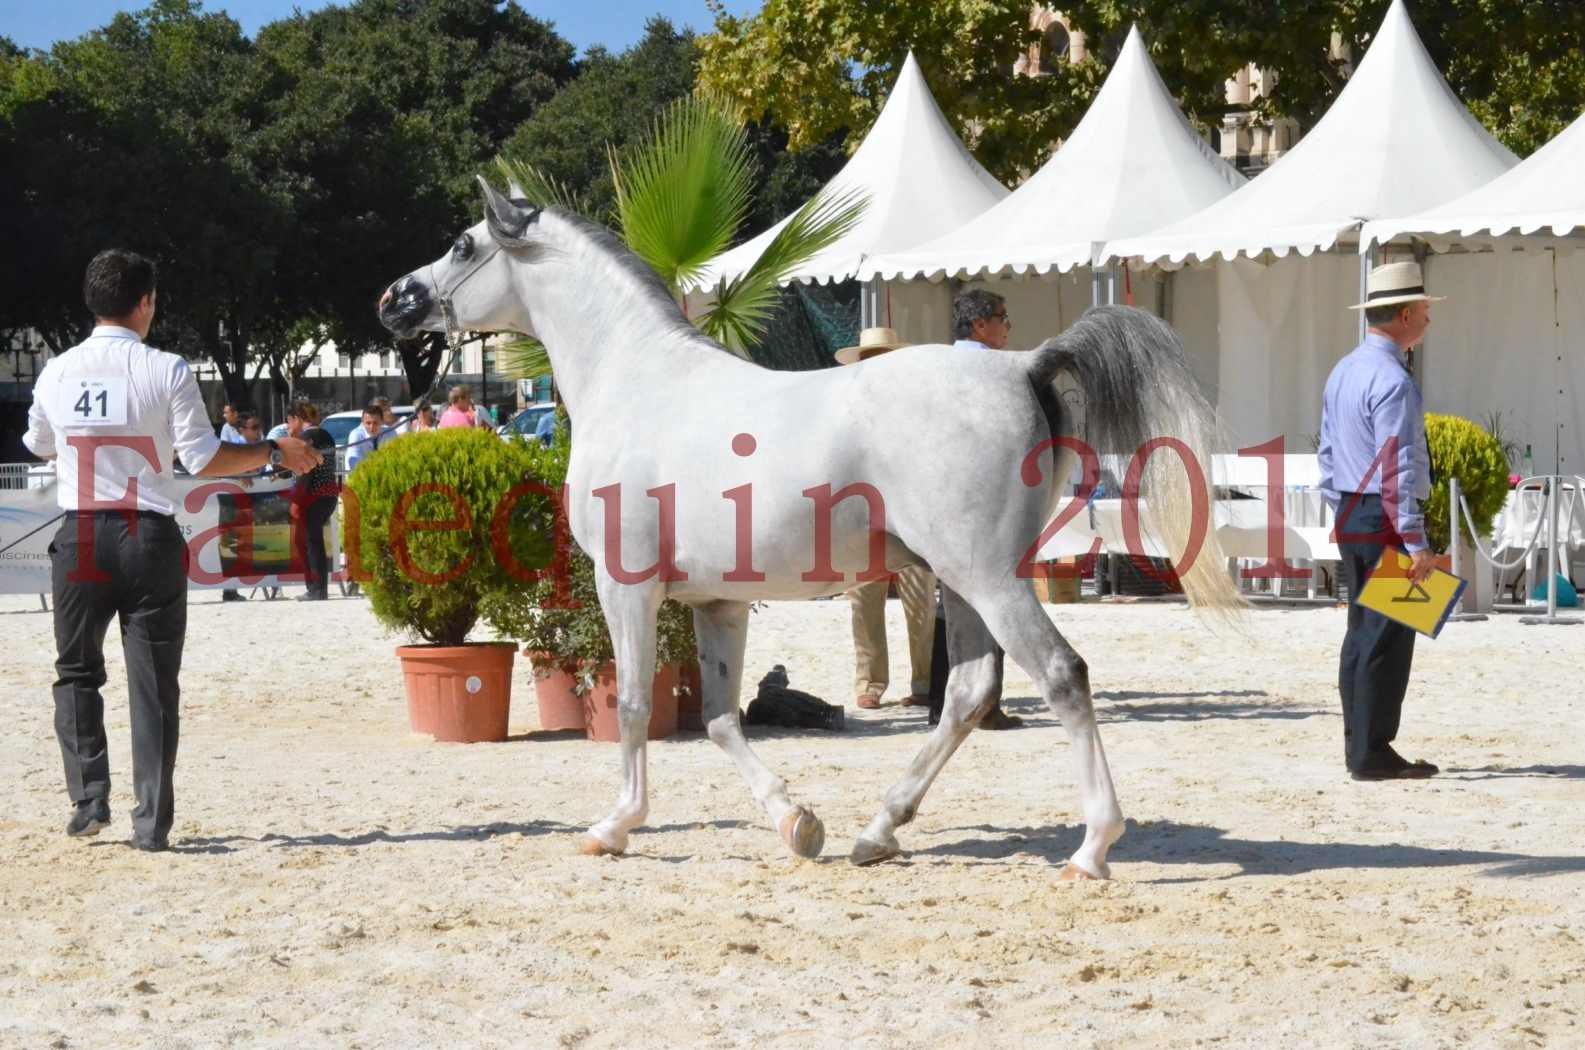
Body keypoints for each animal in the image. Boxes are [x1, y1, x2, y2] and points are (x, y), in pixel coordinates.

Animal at [377, 179, 1242, 881]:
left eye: (463, 245)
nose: (392, 300)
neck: (637, 380)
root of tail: (1022, 365)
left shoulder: (626, 586)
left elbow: (632, 705)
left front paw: (615, 827)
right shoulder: (715, 603)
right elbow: (719, 718)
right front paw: (798, 823)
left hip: (988, 577)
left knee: (1062, 675)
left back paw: (1092, 847)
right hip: (965, 581)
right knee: (967, 692)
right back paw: (876, 832)